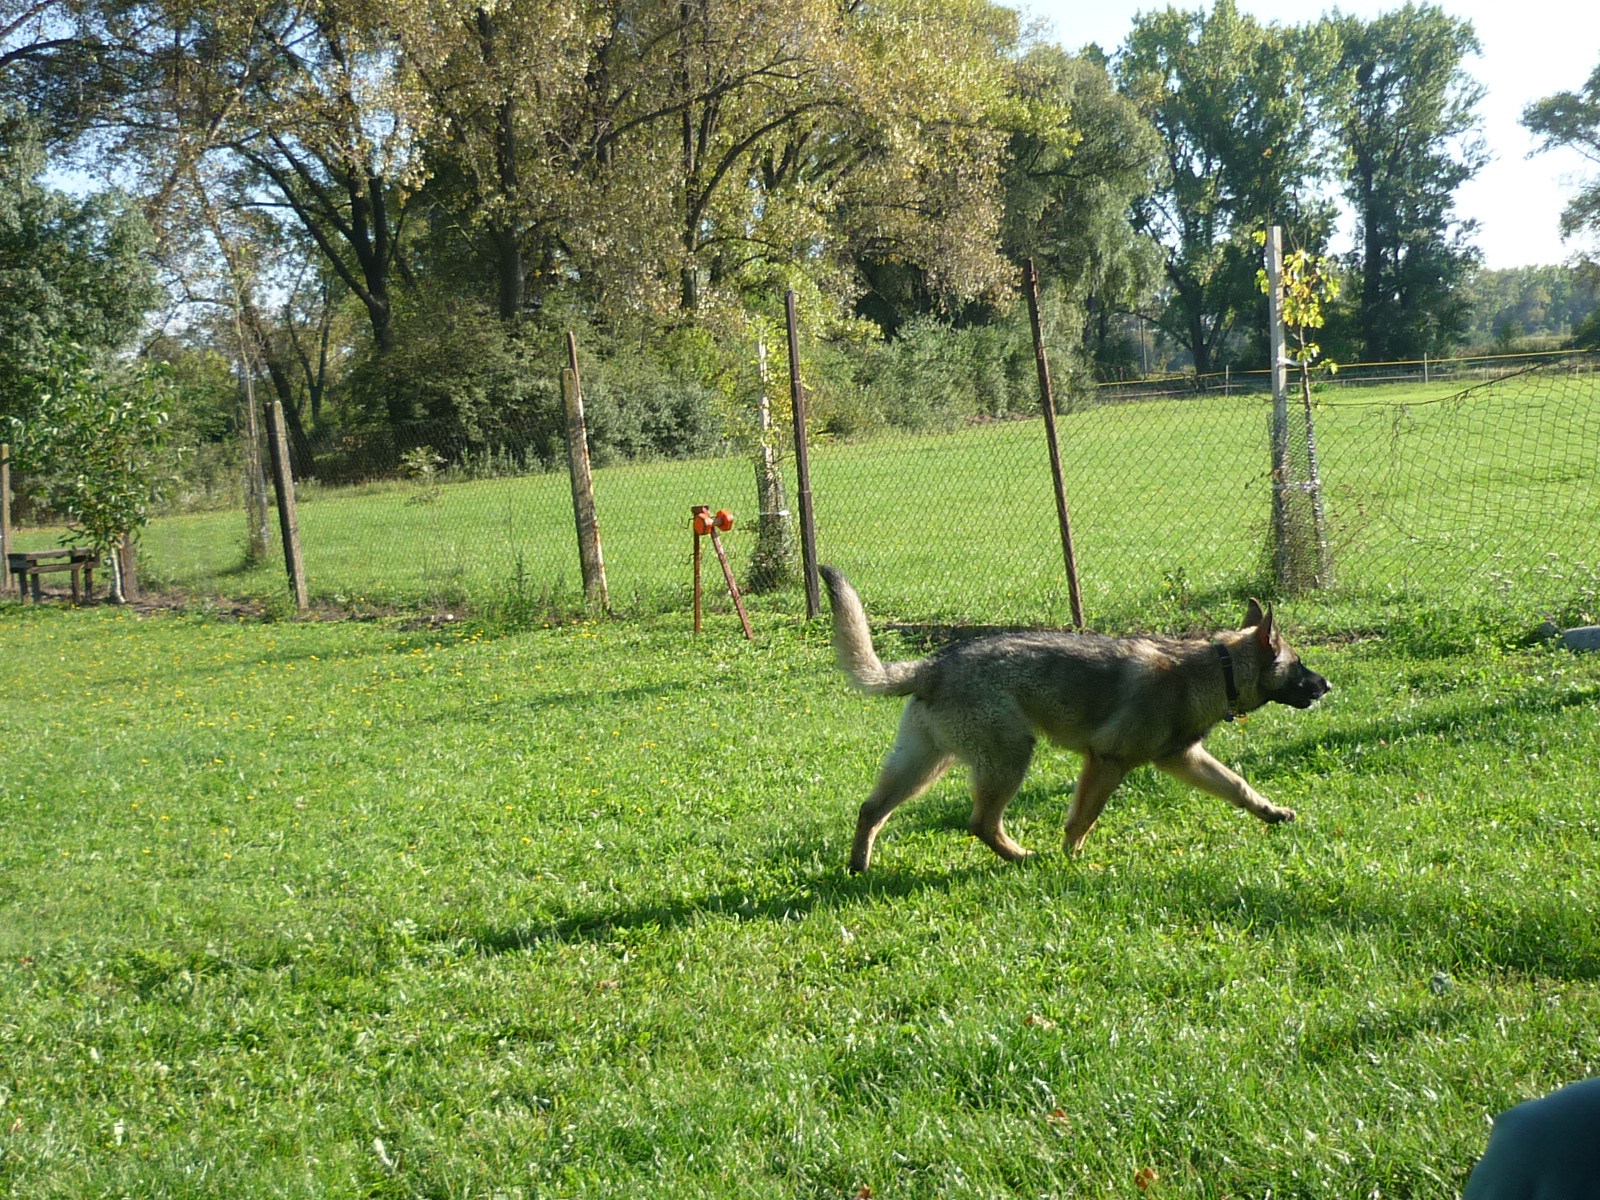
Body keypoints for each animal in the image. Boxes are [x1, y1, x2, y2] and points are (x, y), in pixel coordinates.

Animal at [820, 567, 1330, 872]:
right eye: (1299, 664)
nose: (1327, 686)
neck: (1214, 669)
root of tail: (933, 665)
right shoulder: (1106, 763)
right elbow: (1083, 819)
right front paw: (1072, 857)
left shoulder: (1183, 760)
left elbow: (1239, 786)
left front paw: (1272, 812)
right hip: (1007, 761)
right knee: (980, 822)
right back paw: (1022, 857)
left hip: (924, 765)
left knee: (871, 809)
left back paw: (859, 865)